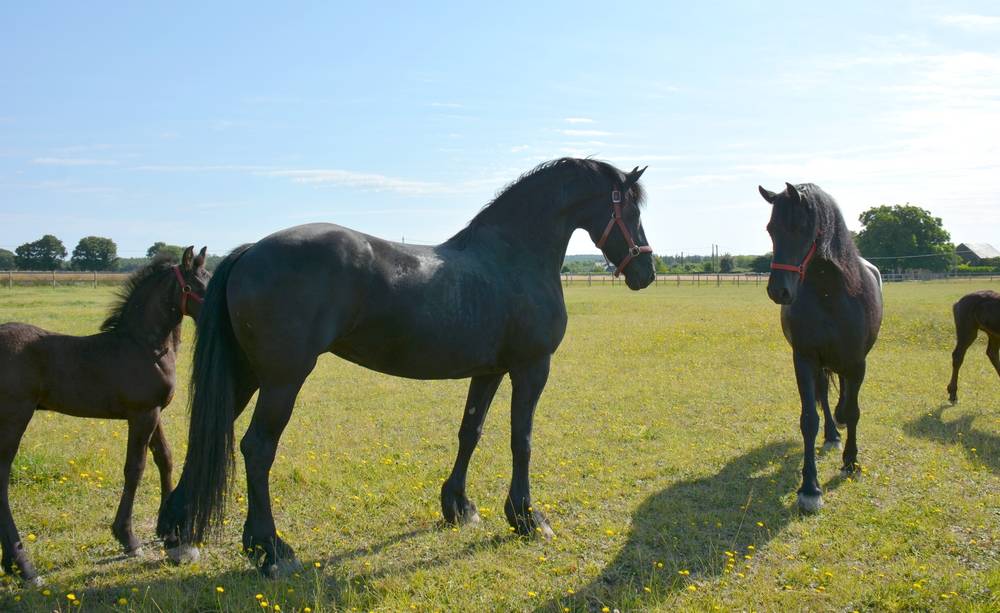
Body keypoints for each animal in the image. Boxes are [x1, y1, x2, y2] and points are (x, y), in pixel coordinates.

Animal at [0, 247, 208, 585]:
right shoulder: (141, 414)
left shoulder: (154, 413)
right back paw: (24, 566)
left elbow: (164, 459)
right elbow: (135, 469)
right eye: (197, 285)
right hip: (13, 418)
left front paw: (171, 536)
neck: (143, 346)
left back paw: (12, 564)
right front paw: (129, 539)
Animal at [157, 158, 656, 577]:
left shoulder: (489, 370)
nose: (646, 273)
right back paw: (272, 548)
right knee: (257, 448)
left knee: (209, 434)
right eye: (630, 209)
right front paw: (527, 518)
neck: (511, 257)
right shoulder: (531, 368)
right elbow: (522, 441)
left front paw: (459, 506)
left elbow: (470, 432)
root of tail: (250, 250)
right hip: (282, 379)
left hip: (246, 375)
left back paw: (179, 533)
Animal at [759, 183, 883, 513]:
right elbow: (809, 419)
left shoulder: (857, 362)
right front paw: (810, 488)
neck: (831, 293)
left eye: (801, 227)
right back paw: (831, 434)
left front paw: (851, 462)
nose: (779, 290)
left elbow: (853, 410)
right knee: (824, 397)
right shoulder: (805, 359)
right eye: (771, 229)